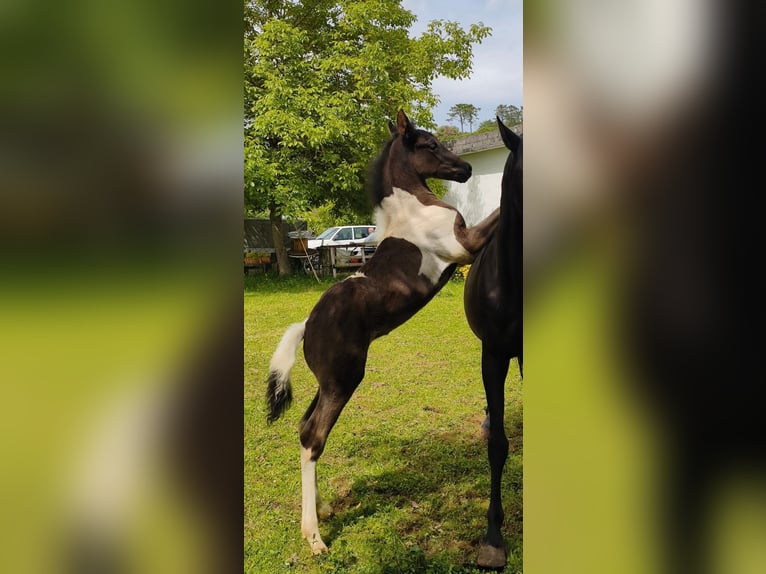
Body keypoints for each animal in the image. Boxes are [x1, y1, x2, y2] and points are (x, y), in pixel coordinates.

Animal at [265, 109, 501, 554]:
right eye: (429, 145)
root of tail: (307, 324)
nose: (465, 169)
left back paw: (322, 510)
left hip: (328, 382)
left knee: (304, 428)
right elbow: (497, 215)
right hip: (343, 381)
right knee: (313, 437)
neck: (414, 210)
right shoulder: (463, 244)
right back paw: (314, 537)